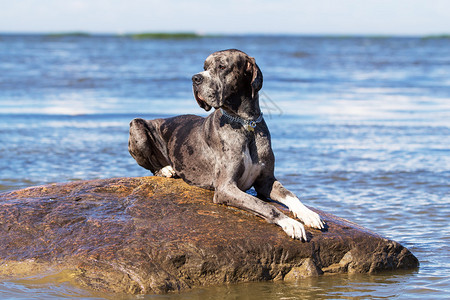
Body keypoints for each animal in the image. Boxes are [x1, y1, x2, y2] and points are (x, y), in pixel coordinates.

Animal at [128, 49, 326, 241]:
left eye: (222, 66)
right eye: (204, 67)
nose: (195, 78)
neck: (245, 123)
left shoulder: (266, 181)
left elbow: (290, 194)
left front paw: (308, 214)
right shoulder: (226, 188)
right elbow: (263, 205)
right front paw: (290, 223)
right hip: (137, 126)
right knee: (151, 166)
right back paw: (166, 169)